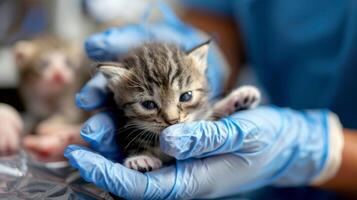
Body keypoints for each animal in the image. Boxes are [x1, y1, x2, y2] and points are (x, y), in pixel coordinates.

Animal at [97, 41, 258, 172]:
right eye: (148, 104)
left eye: (186, 96)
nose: (173, 121)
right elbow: (133, 138)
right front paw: (140, 158)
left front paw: (240, 98)